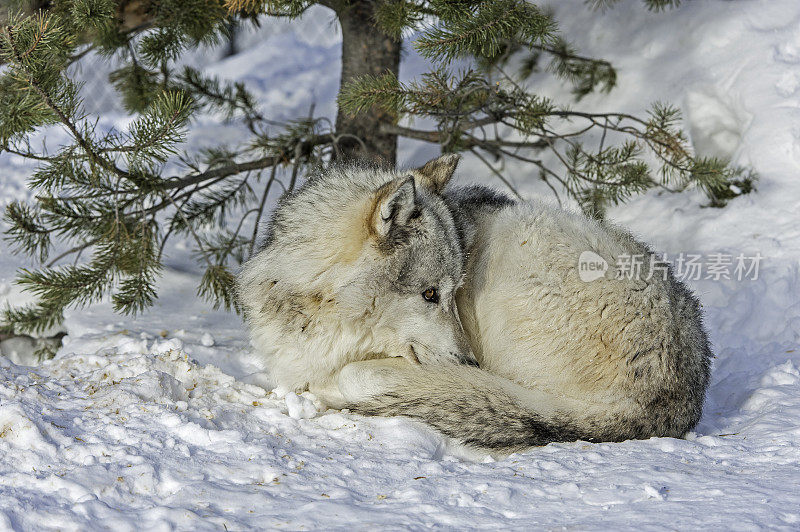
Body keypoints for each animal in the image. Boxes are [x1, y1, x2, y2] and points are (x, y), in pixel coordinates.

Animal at [239, 155, 712, 454]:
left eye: (454, 292)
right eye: (430, 294)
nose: (468, 362)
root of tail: (677, 398)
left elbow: (355, 376)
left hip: (514, 251)